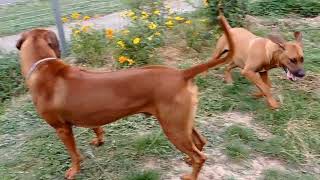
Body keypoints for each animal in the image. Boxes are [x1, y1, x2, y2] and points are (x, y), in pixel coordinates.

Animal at [15, 15, 234, 180]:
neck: (43, 66)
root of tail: (181, 74)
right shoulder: (90, 115)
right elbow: (97, 127)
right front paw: (99, 141)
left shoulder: (62, 129)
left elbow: (74, 155)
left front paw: (74, 170)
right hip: (181, 122)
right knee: (200, 143)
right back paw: (188, 160)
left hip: (173, 128)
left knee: (200, 157)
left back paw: (190, 175)